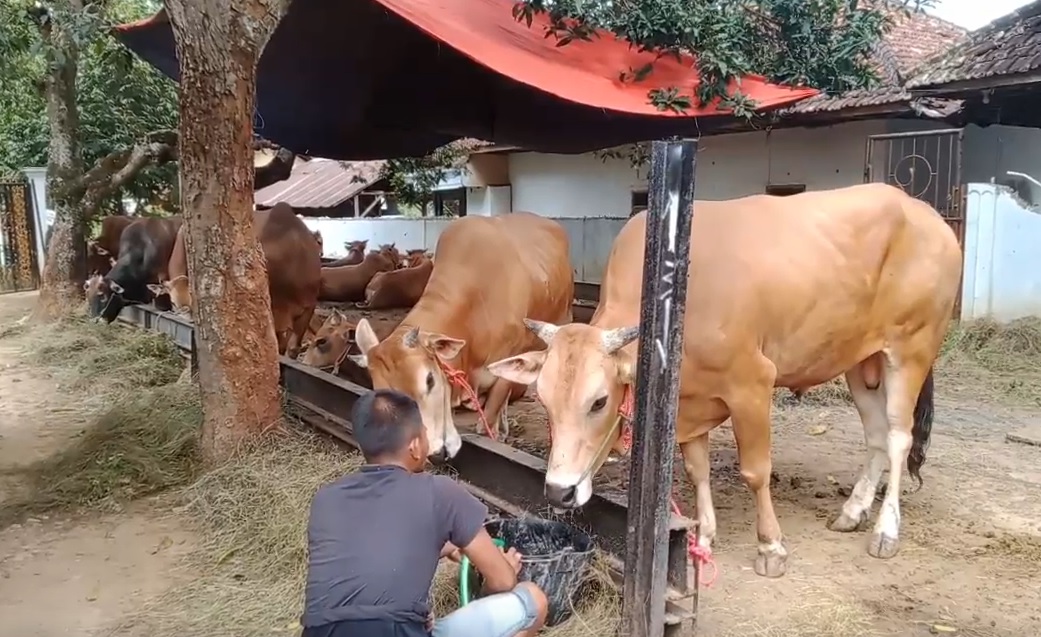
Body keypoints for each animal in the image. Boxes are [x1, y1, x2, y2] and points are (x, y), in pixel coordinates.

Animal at [485, 183, 957, 578]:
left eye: (599, 402)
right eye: (544, 400)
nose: (558, 492)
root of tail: (926, 213)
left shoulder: (752, 385)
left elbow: (756, 471)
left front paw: (770, 547)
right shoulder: (690, 402)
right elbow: (698, 470)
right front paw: (704, 537)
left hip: (910, 351)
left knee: (898, 436)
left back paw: (885, 530)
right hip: (861, 360)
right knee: (876, 435)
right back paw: (852, 511)